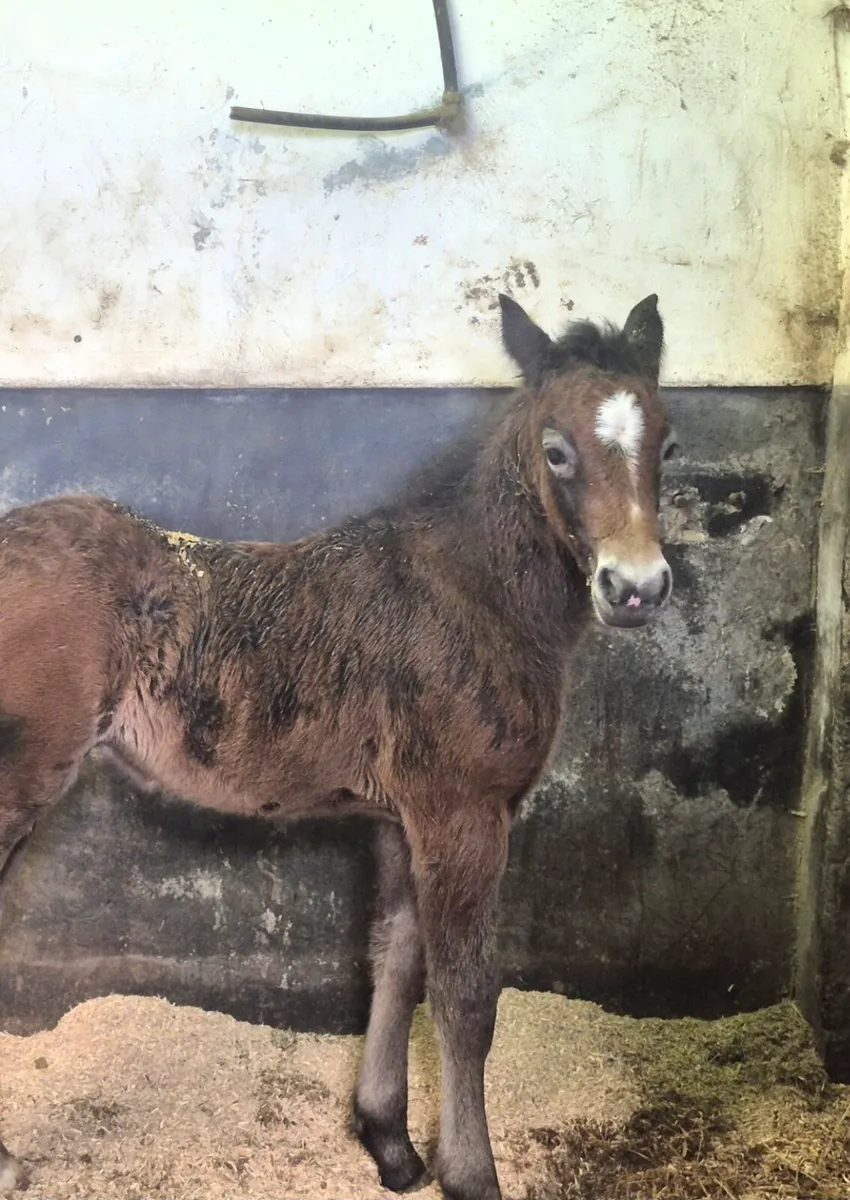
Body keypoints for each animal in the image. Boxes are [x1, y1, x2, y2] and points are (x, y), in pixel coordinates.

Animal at [0, 291, 675, 1200]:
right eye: (557, 450)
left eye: (668, 445)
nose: (635, 589)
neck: (474, 597)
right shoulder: (465, 814)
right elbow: (466, 996)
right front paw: (472, 1175)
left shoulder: (404, 816)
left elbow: (394, 957)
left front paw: (388, 1140)